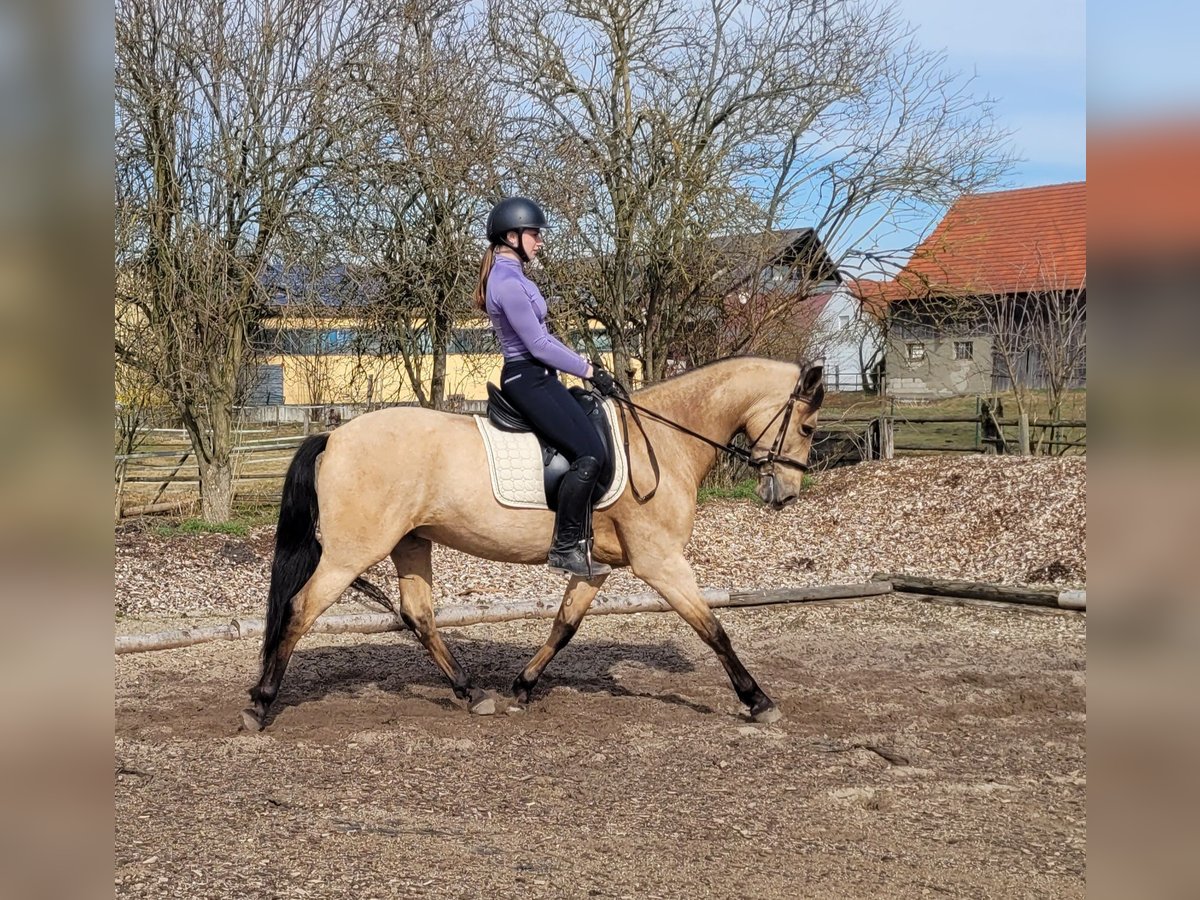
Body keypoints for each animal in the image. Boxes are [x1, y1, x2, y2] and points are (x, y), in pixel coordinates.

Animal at [243, 355, 825, 729]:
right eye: (808, 426)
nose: (786, 493)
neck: (661, 441)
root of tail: (335, 435)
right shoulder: (660, 562)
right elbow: (714, 630)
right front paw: (758, 700)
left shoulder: (597, 567)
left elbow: (564, 626)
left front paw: (522, 686)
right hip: (351, 554)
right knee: (300, 610)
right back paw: (261, 704)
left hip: (410, 542)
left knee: (419, 615)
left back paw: (472, 693)